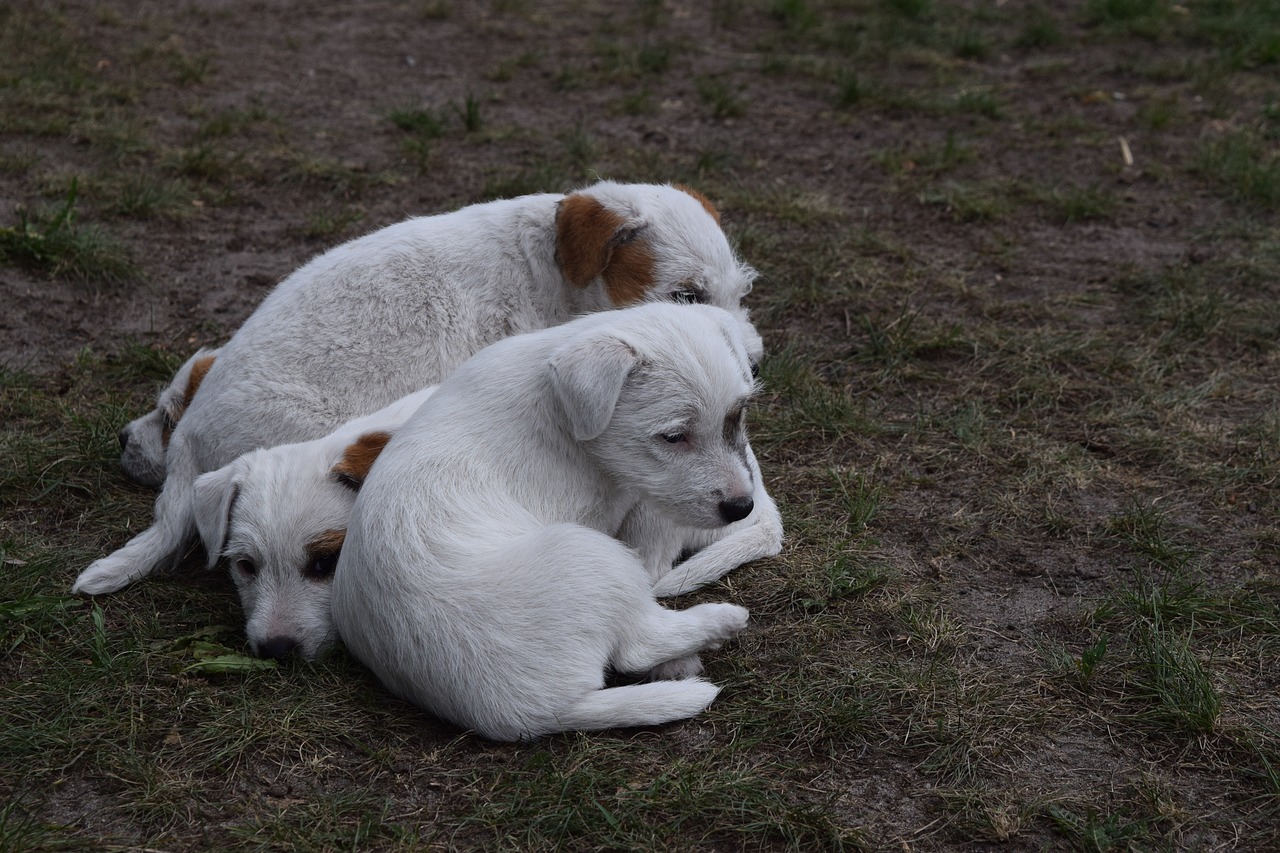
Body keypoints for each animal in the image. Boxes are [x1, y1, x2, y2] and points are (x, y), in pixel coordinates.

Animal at [332, 300, 768, 737]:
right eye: (674, 437)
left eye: (737, 416)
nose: (741, 508)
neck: (561, 410)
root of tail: (538, 713)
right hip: (589, 553)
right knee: (637, 647)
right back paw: (719, 622)